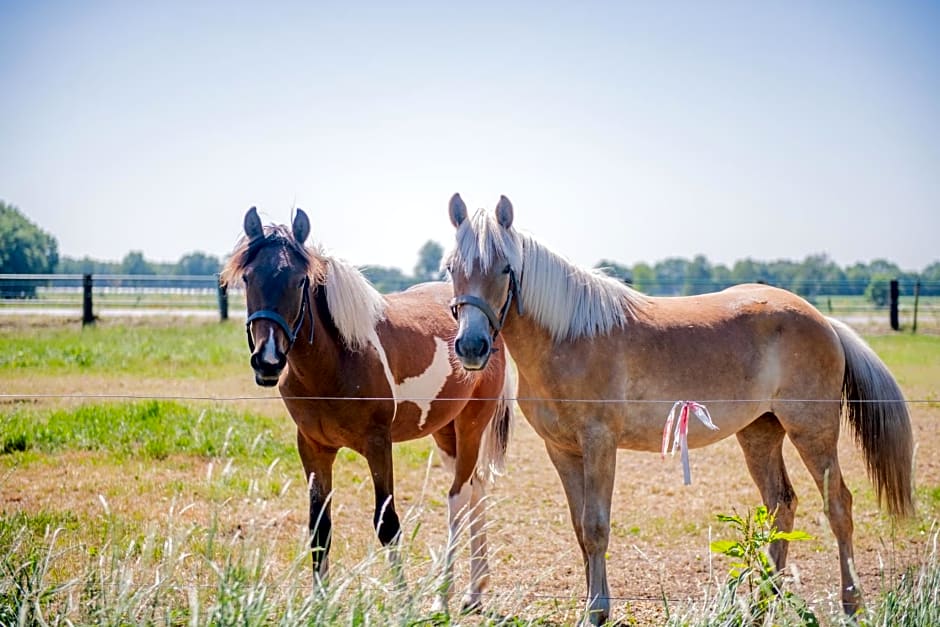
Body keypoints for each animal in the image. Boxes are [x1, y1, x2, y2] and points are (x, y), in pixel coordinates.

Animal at [222, 207, 516, 612]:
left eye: (299, 281)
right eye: (248, 278)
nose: (267, 361)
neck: (337, 361)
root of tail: (486, 328)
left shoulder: (378, 445)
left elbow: (386, 522)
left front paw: (405, 602)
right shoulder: (313, 448)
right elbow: (320, 527)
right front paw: (319, 603)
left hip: (472, 424)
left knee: (459, 496)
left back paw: (447, 596)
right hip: (446, 431)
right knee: (476, 488)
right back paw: (474, 590)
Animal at [444, 194, 916, 624]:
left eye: (506, 268)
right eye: (451, 268)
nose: (471, 347)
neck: (568, 338)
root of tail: (823, 321)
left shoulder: (599, 444)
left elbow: (596, 527)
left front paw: (596, 612)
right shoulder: (561, 450)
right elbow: (580, 529)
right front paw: (593, 608)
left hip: (812, 431)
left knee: (838, 505)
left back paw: (851, 606)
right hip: (760, 432)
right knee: (781, 504)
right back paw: (760, 605)